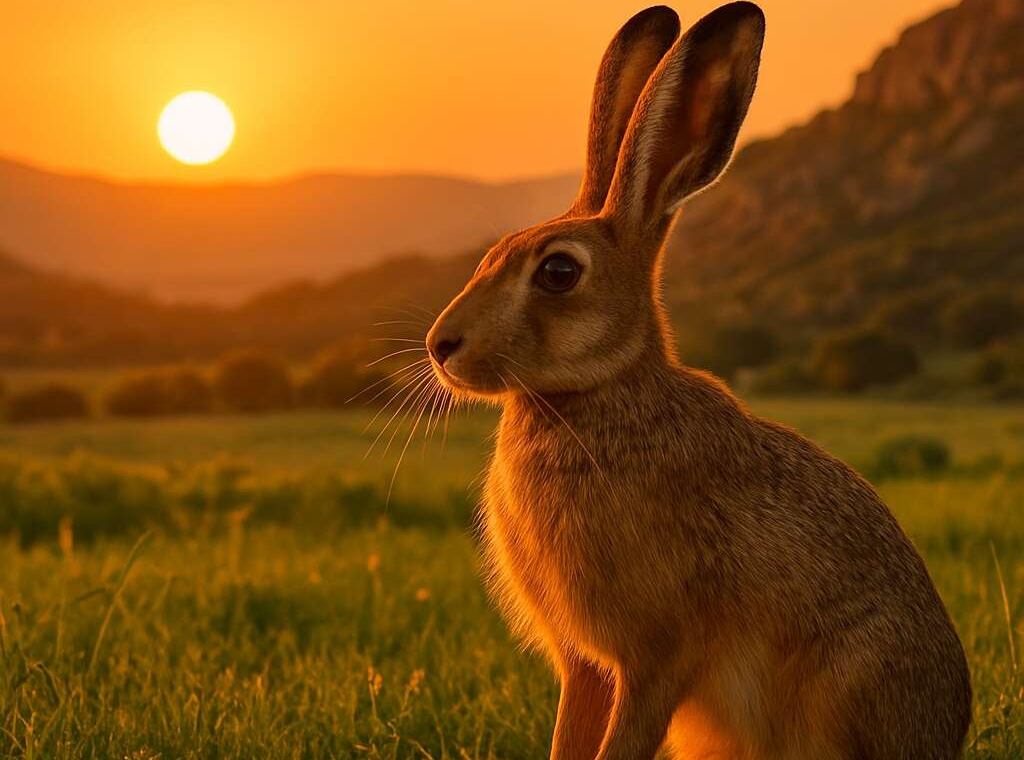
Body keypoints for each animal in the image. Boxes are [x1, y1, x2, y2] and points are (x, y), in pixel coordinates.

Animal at [424, 3, 972, 759]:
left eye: (559, 272)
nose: (440, 346)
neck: (594, 395)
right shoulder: (587, 667)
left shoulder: (657, 656)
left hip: (847, 686)